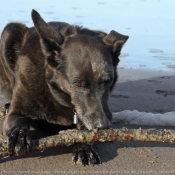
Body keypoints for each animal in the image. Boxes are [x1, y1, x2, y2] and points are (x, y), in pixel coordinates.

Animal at [0, 9, 129, 165]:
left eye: (108, 80)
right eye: (77, 83)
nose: (103, 126)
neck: (57, 95)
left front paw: (84, 147)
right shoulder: (17, 112)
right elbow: (18, 121)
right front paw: (19, 135)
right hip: (9, 31)